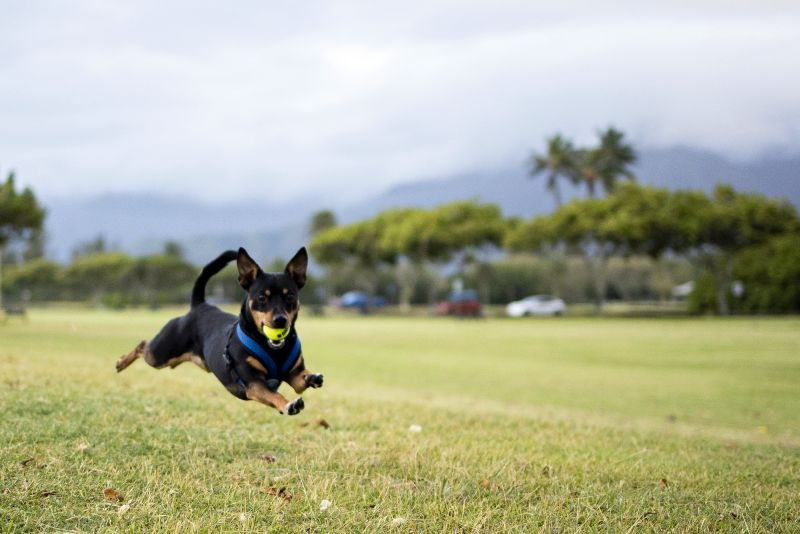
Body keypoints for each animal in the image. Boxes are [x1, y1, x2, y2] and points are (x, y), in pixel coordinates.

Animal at [115, 249, 322, 416]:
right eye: (262, 298)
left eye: (290, 297)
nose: (280, 320)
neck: (274, 350)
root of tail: (199, 305)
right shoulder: (254, 384)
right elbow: (275, 394)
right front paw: (288, 404)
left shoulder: (294, 375)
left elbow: (301, 380)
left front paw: (312, 377)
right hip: (160, 354)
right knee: (143, 345)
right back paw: (121, 363)